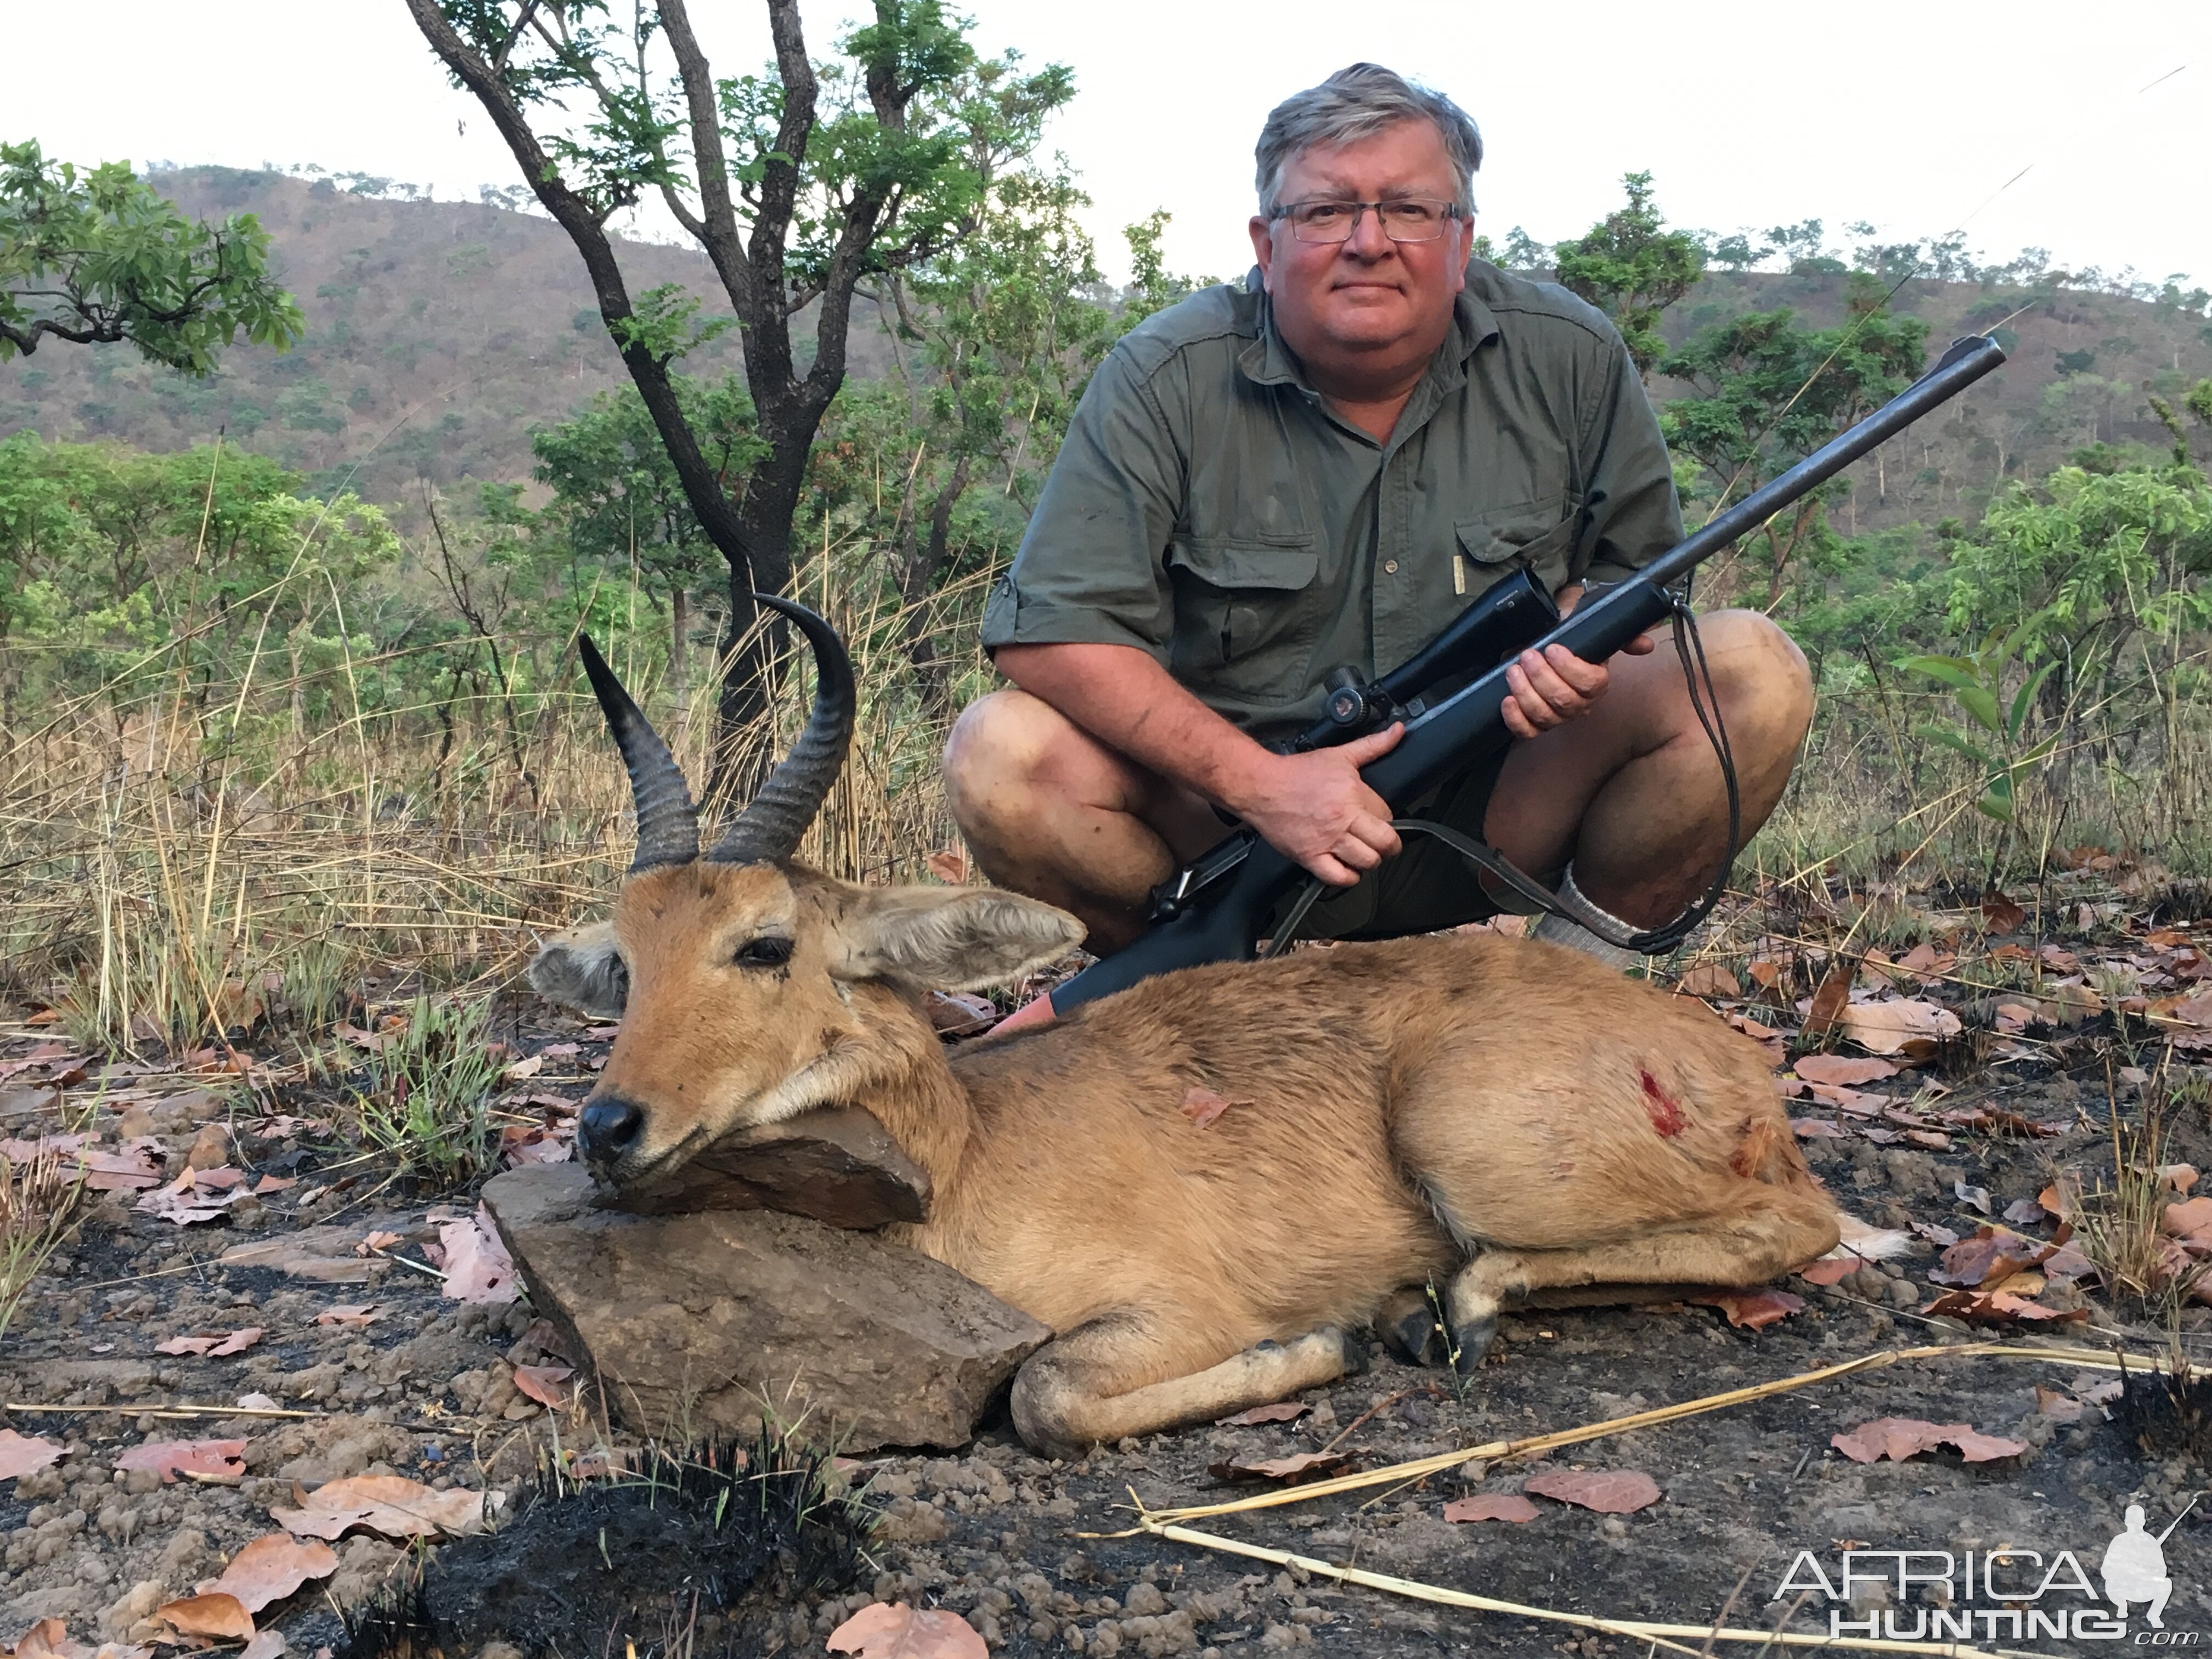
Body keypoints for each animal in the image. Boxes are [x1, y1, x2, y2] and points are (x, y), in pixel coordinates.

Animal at [535, 606, 1867, 1460]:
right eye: (626, 959)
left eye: (764, 944)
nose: (607, 1125)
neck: (971, 1153)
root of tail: (1734, 1069)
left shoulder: (1168, 1310)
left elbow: (1043, 1394)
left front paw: (1320, 1344)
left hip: (1469, 1143)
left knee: (1801, 1225)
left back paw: (1441, 1308)